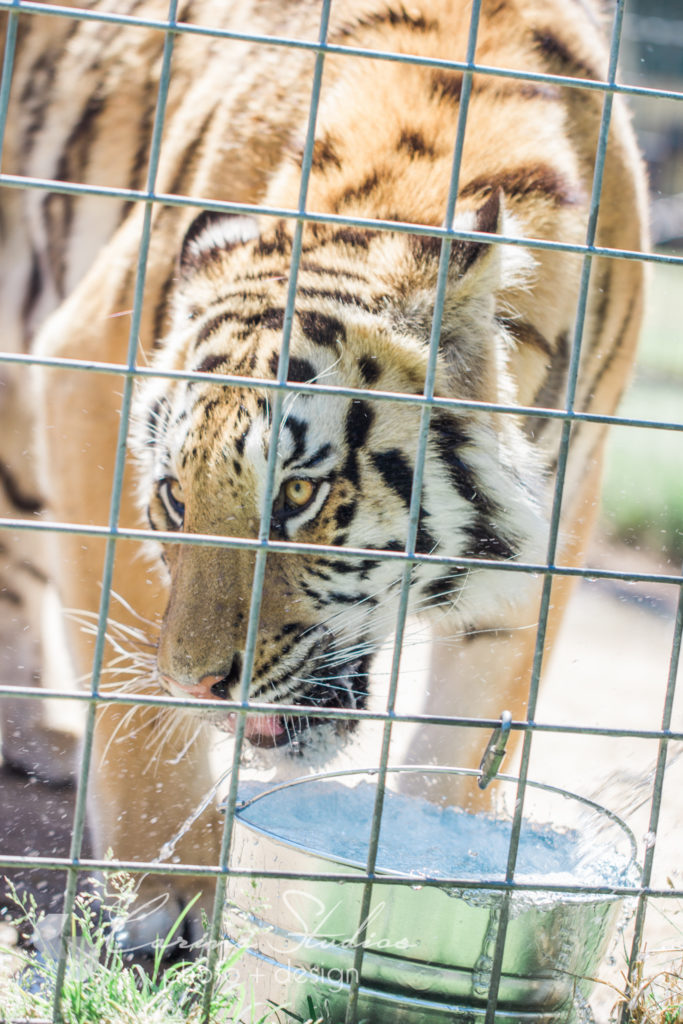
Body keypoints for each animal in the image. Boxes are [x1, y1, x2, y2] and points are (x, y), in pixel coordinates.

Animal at [1, 0, 647, 942]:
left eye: (298, 495)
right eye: (174, 497)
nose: (202, 684)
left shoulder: (560, 501)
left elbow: (462, 748)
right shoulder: (81, 376)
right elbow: (135, 709)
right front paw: (171, 904)